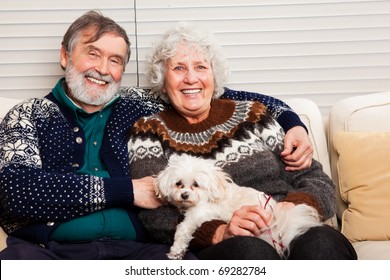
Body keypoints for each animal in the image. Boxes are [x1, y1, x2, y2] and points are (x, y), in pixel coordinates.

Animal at [155, 154, 322, 260]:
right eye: (178, 183)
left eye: (196, 184)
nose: (184, 195)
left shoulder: (199, 214)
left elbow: (182, 230)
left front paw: (175, 251)